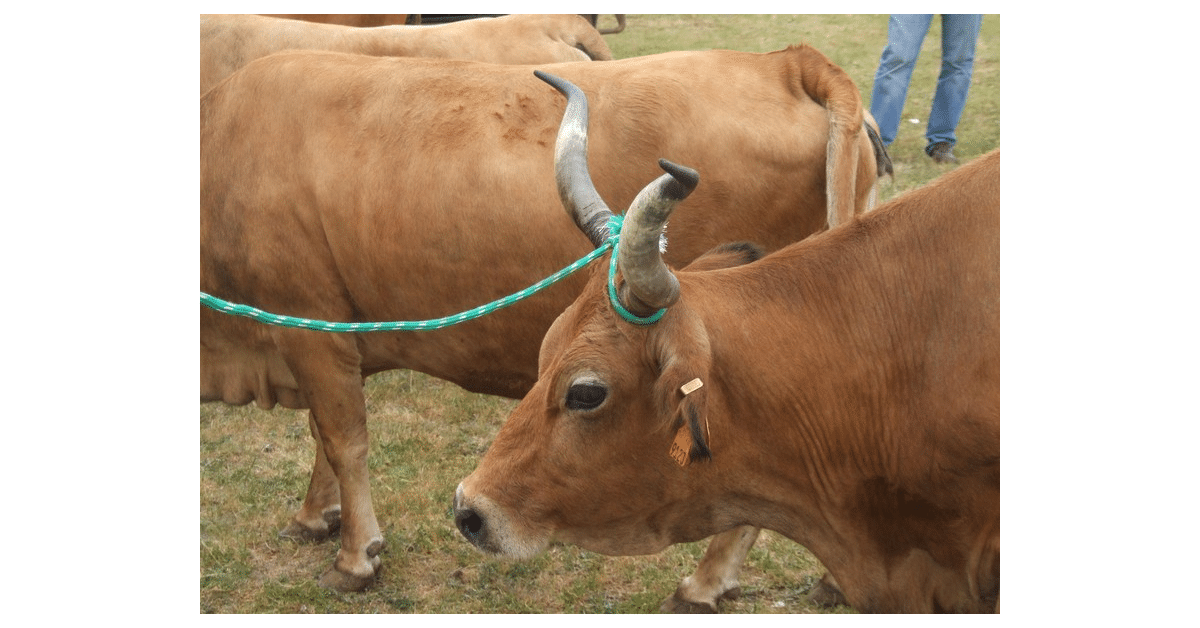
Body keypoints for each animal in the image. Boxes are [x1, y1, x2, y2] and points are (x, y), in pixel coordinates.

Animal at [199, 46, 892, 593]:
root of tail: (788, 61)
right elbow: (322, 435)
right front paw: (316, 518)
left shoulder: (310, 327)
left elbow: (343, 441)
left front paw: (356, 558)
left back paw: (704, 583)